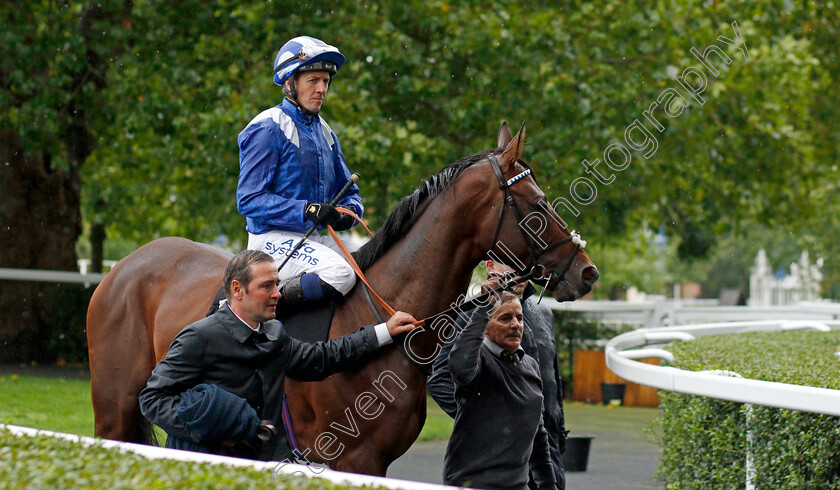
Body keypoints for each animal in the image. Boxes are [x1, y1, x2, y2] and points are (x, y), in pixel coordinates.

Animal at [87, 122, 596, 474]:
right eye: (536, 203)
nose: (586, 271)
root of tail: (123, 268)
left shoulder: (374, 461)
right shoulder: (347, 455)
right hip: (113, 408)